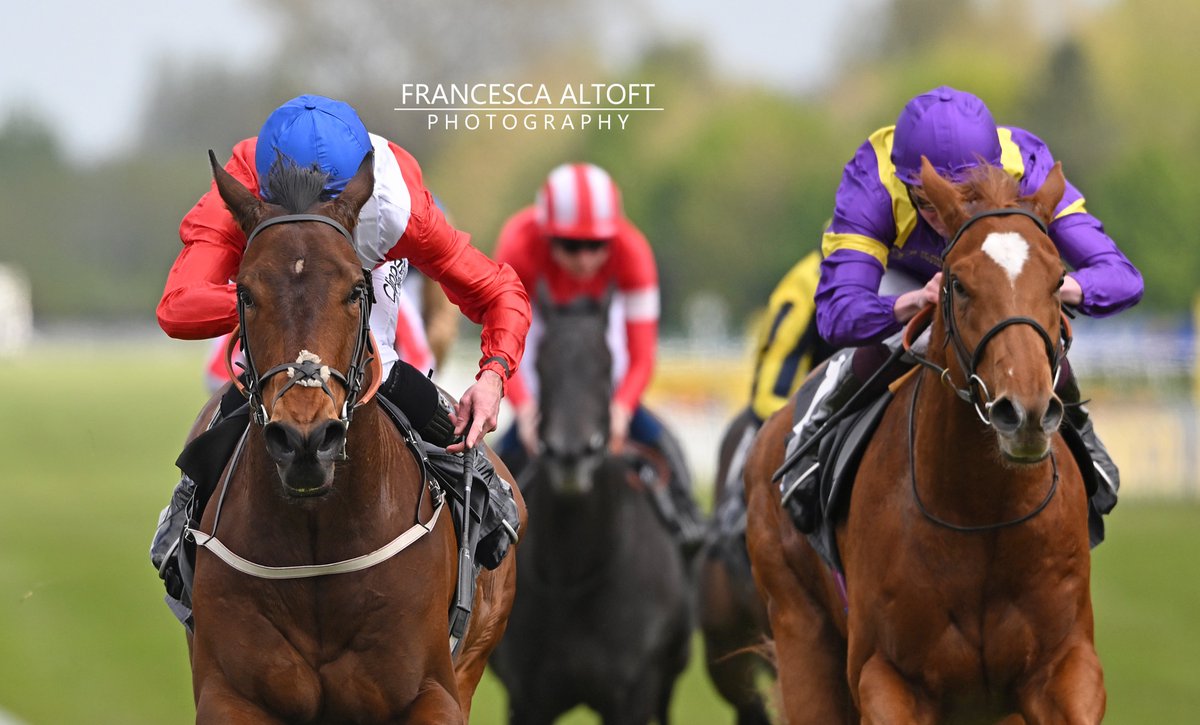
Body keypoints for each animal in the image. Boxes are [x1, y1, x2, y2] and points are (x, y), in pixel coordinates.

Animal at [184, 150, 523, 720]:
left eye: (355, 290)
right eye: (244, 292)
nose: (305, 440)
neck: (318, 540)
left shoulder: (434, 691)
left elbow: (498, 287)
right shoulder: (230, 694)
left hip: (475, 657)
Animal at [489, 292, 696, 725]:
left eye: (606, 365)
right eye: (541, 364)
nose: (571, 454)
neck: (575, 571)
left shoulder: (634, 694)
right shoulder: (527, 699)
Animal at [748, 159, 1104, 725]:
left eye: (1058, 280)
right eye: (957, 282)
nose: (1024, 412)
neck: (983, 512)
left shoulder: (1066, 666)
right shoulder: (888, 678)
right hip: (800, 631)